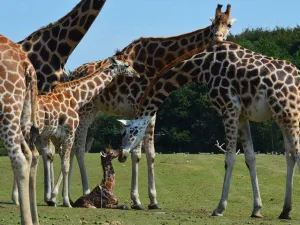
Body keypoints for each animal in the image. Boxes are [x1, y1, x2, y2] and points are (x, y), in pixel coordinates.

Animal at [21, 55, 137, 207]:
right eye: (126, 65)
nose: (136, 74)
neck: (76, 98)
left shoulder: (58, 136)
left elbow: (63, 161)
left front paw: (57, 198)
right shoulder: (70, 132)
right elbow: (66, 165)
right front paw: (65, 201)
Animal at [48, 3, 237, 209]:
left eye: (229, 25)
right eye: (213, 24)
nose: (219, 39)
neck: (159, 61)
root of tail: (72, 74)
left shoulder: (151, 111)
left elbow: (151, 153)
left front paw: (153, 200)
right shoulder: (138, 107)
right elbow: (136, 153)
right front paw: (137, 200)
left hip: (93, 111)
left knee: (73, 148)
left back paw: (66, 196)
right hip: (85, 111)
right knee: (78, 147)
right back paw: (68, 195)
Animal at [118, 40, 300, 220]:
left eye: (126, 133)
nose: (121, 155)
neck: (201, 67)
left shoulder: (229, 108)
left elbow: (230, 159)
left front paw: (219, 208)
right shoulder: (242, 116)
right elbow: (250, 158)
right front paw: (257, 209)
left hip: (289, 113)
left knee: (296, 153)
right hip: (281, 116)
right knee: (290, 155)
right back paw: (285, 211)